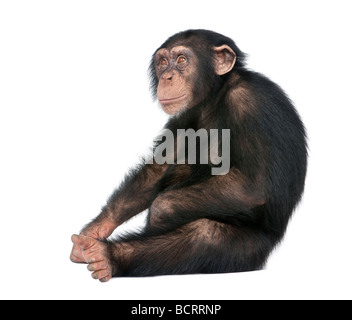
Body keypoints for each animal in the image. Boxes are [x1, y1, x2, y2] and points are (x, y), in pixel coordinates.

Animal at [70, 28, 306, 282]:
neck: (215, 95)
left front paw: (159, 213)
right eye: (163, 62)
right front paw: (94, 230)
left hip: (255, 246)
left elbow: (254, 187)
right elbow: (159, 166)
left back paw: (108, 257)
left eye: (182, 60)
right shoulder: (184, 114)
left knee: (205, 236)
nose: (167, 77)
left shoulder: (250, 103)